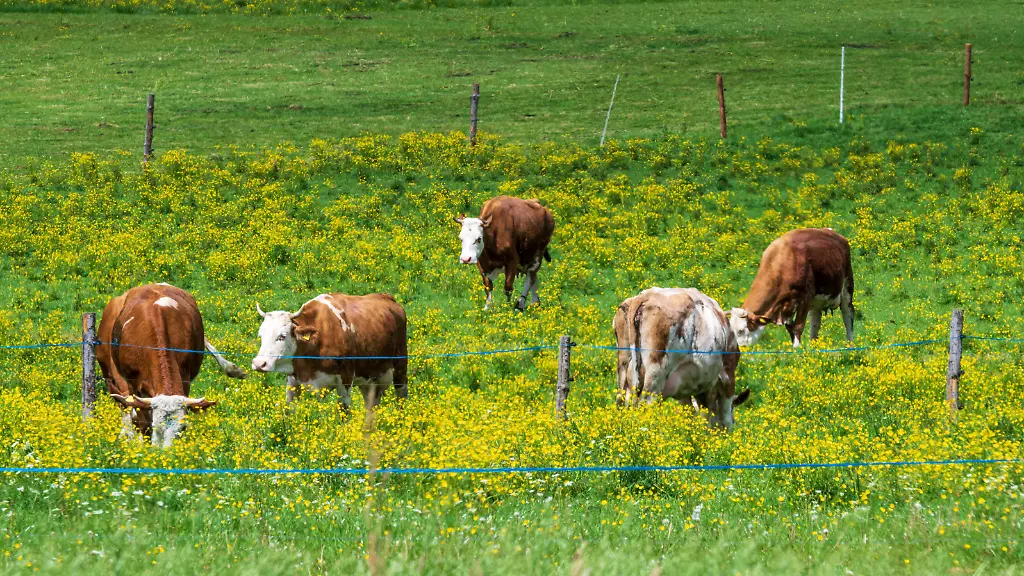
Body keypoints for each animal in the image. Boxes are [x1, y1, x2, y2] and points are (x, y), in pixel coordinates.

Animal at [97, 283, 247, 448]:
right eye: (156, 425)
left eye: (182, 427)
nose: (167, 452)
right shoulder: (132, 384)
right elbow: (142, 420)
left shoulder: (185, 378)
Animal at [251, 293, 408, 411]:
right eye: (260, 335)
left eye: (282, 336)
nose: (259, 364)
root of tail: (387, 297)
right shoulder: (292, 381)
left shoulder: (345, 381)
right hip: (369, 380)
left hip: (400, 368)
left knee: (401, 397)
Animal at [613, 287, 750, 431]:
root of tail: (645, 297)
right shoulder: (728, 378)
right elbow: (725, 417)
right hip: (656, 375)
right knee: (646, 404)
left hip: (624, 370)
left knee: (621, 400)